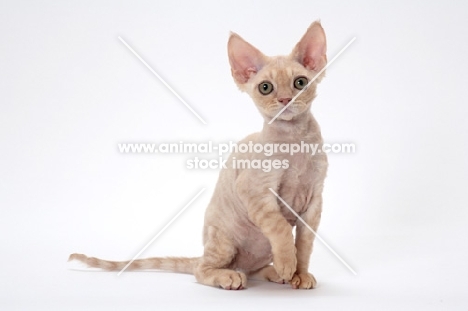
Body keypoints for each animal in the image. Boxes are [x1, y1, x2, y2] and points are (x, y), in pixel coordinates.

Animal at [71, 20, 330, 292]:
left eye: (300, 83)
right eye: (265, 87)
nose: (285, 99)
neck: (295, 141)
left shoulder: (315, 200)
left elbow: (305, 245)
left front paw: (299, 273)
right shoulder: (254, 190)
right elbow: (280, 227)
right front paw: (287, 264)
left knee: (252, 268)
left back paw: (272, 273)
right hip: (222, 240)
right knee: (202, 269)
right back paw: (231, 276)